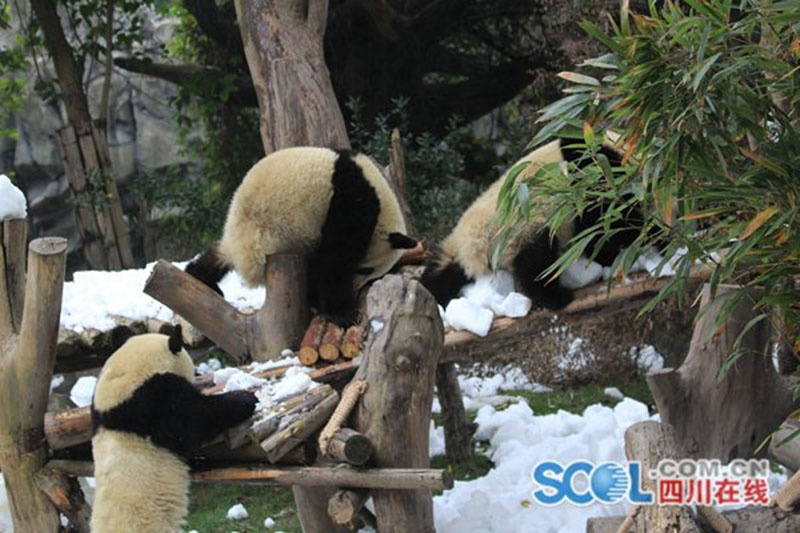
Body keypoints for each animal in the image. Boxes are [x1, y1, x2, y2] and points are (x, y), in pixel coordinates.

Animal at [186, 146, 417, 326]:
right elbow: (335, 259)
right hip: (279, 233)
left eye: (371, 274)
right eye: (365, 269)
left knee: (220, 253)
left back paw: (200, 276)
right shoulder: (351, 203)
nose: (357, 288)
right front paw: (342, 314)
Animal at [420, 138, 647, 310]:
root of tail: (471, 248)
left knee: (439, 275)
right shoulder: (593, 177)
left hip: (455, 253)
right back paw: (555, 297)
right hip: (521, 228)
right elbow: (607, 224)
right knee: (537, 261)